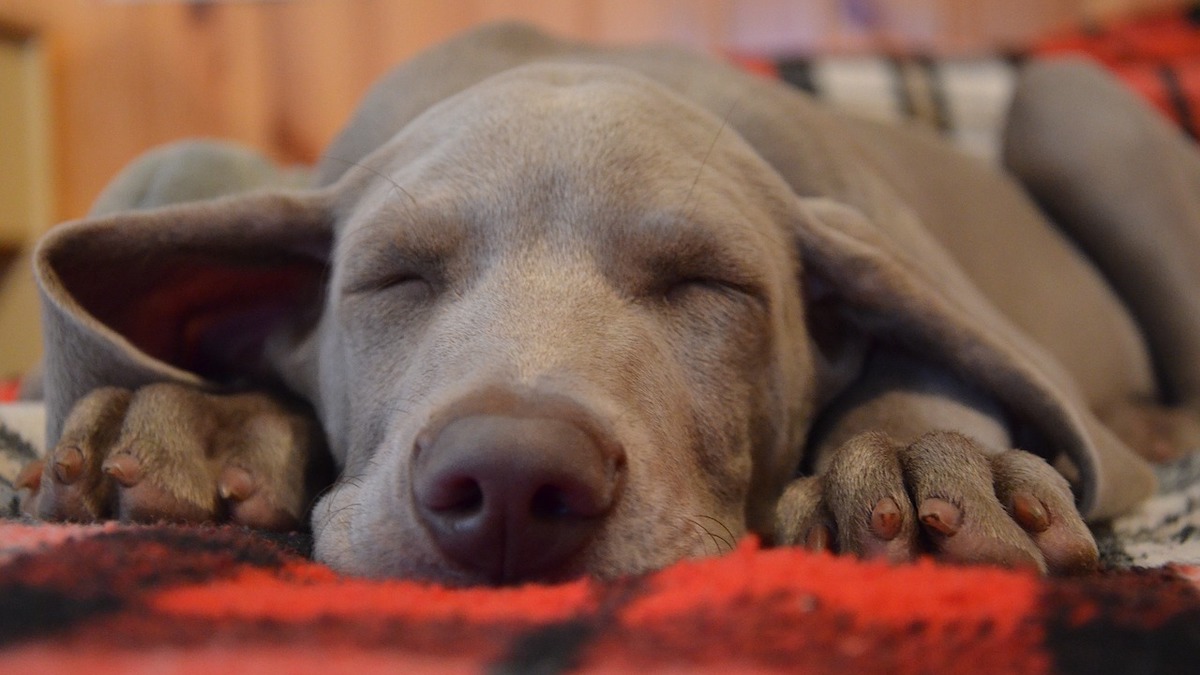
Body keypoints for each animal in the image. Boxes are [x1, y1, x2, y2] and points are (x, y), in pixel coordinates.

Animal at [16, 23, 1200, 583]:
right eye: (395, 278)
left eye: (710, 283)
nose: (506, 480)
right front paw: (201, 422)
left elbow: (932, 359)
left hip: (1069, 100)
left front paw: (924, 467)